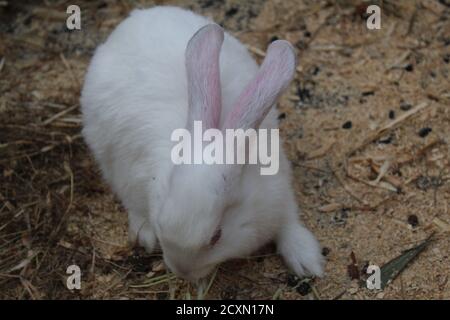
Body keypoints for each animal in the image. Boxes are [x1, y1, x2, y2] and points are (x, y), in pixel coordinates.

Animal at [81, 4, 326, 280]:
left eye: (216, 237)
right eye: (160, 223)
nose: (182, 272)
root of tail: (136, 18)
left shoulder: (279, 193)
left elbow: (289, 224)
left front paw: (308, 262)